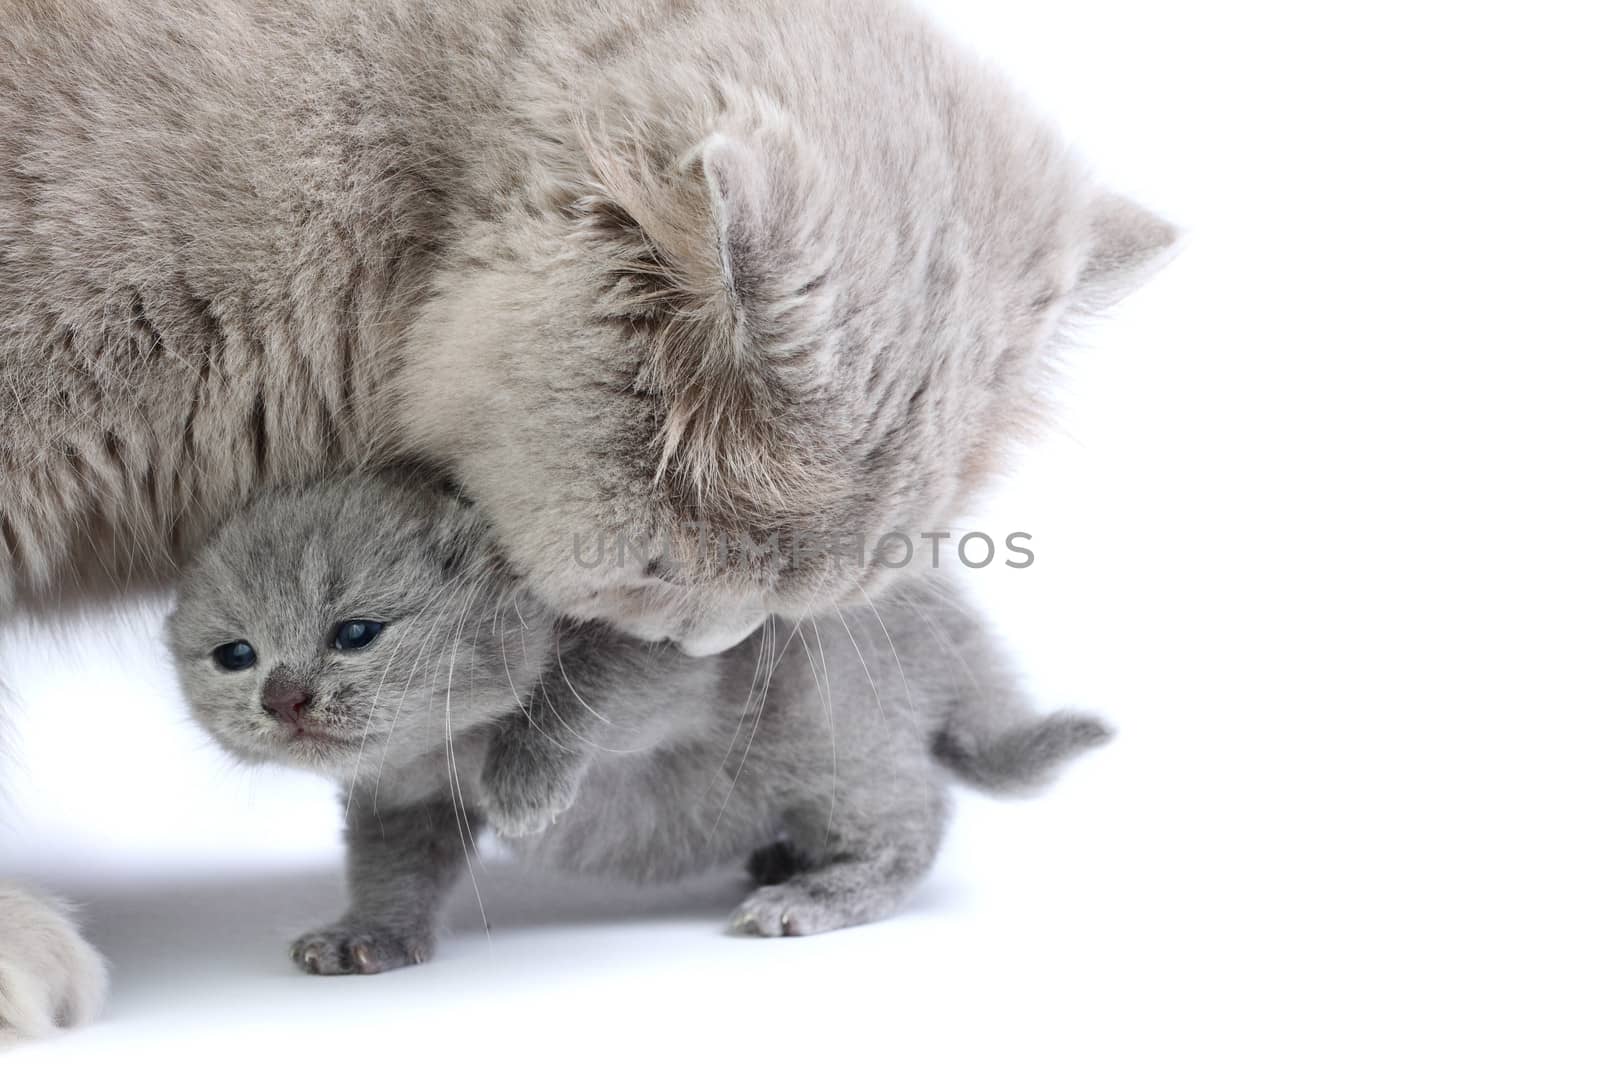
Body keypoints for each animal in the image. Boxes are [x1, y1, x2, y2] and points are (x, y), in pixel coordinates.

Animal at [165, 476, 1113, 966]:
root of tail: (954, 631)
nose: (283, 697)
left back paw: (810, 894)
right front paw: (369, 934)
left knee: (913, 817)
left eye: (355, 633)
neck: (455, 739)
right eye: (235, 654)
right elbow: (391, 865)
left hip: (834, 720)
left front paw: (526, 777)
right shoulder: (403, 797)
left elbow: (579, 684)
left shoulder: (686, 641)